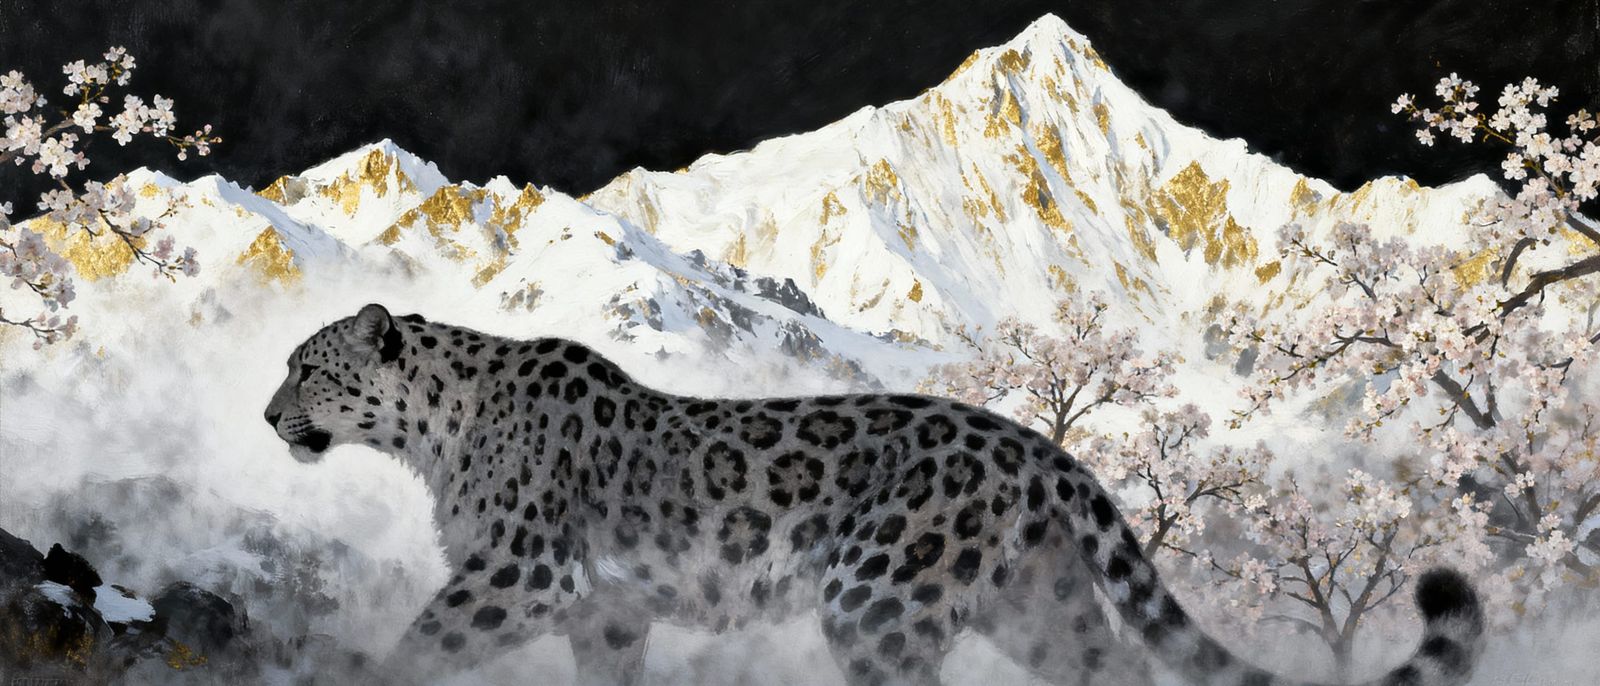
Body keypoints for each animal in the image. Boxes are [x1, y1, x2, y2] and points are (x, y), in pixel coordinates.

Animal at [264, 303, 1485, 686]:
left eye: (310, 368)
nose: (273, 418)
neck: (435, 440)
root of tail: (1033, 444)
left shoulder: (520, 567)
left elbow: (427, 638)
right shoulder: (602, 607)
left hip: (881, 595)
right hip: (1036, 600)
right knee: (1116, 663)